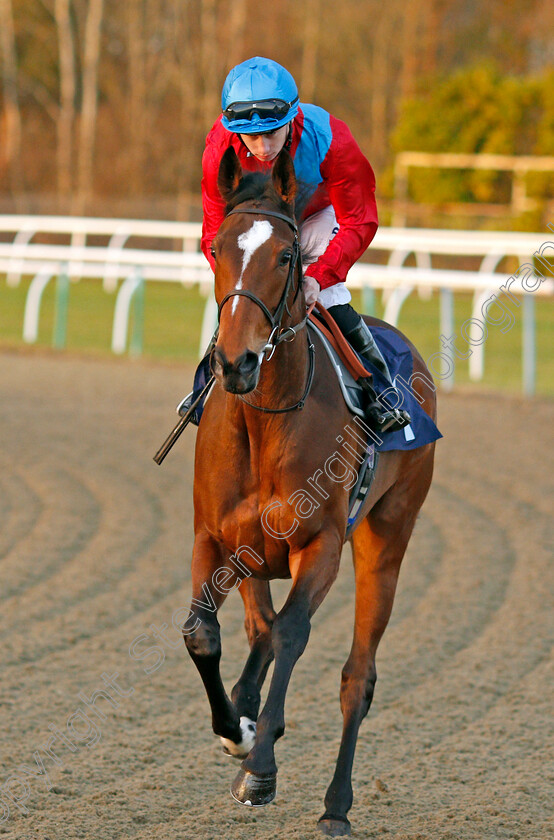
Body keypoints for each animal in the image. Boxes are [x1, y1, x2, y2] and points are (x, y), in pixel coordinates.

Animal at [181, 148, 436, 836]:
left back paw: (336, 805)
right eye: (217, 248)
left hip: (387, 539)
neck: (266, 418)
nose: (236, 362)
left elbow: (293, 635)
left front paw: (261, 766)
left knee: (357, 676)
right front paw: (237, 729)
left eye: (287, 257)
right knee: (259, 628)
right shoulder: (215, 538)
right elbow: (204, 635)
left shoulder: (319, 544)